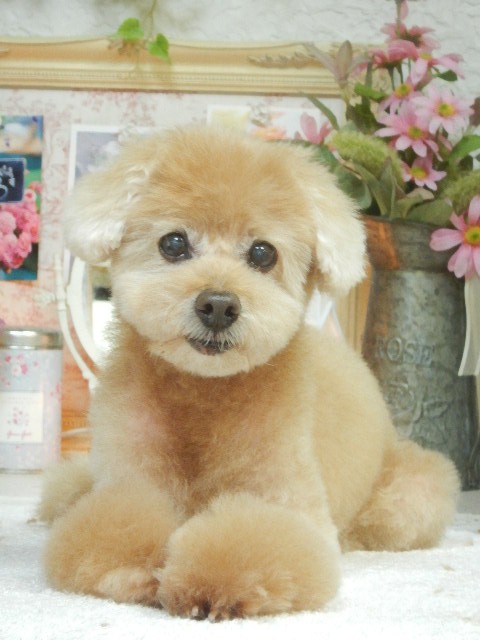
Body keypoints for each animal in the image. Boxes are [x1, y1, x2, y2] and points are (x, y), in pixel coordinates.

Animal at [40, 126, 459, 620]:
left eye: (263, 253)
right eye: (173, 243)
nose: (219, 305)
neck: (203, 393)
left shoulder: (285, 500)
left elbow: (256, 542)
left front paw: (201, 583)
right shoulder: (130, 478)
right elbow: (110, 525)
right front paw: (142, 570)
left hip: (409, 496)